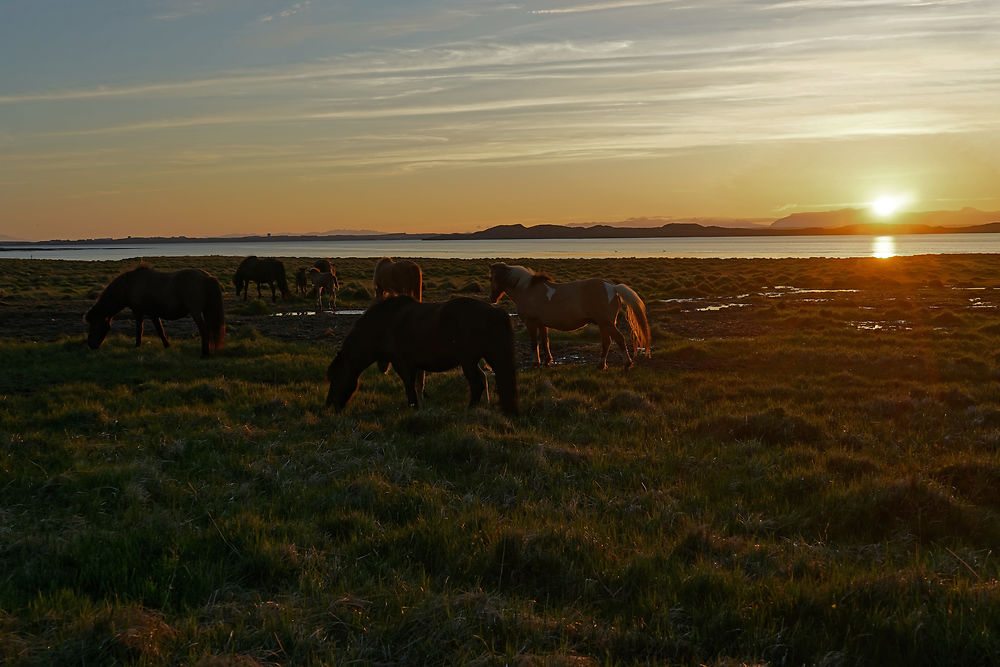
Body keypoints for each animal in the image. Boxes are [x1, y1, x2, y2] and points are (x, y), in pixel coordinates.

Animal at [85, 266, 225, 360]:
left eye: (94, 324)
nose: (91, 345)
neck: (130, 285)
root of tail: (207, 277)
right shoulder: (145, 313)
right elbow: (147, 329)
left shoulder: (144, 312)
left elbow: (151, 329)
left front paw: (139, 346)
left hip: (196, 312)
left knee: (204, 330)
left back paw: (204, 354)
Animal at [326, 296, 520, 412]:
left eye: (336, 377)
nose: (330, 406)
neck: (384, 325)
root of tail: (495, 311)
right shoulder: (414, 365)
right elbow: (417, 385)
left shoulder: (402, 364)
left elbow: (409, 386)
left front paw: (414, 407)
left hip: (469, 361)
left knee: (477, 383)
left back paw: (470, 409)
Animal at [490, 264, 648, 370]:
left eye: (491, 278)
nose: (492, 299)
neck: (527, 290)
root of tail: (613, 288)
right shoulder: (541, 324)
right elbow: (545, 342)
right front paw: (547, 361)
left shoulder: (531, 323)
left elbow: (534, 343)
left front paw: (536, 363)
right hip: (604, 324)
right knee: (607, 342)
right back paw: (601, 365)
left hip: (607, 323)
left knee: (619, 339)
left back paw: (627, 363)